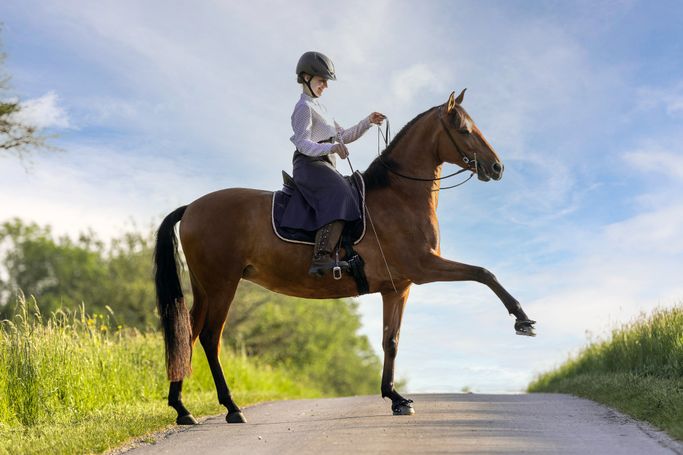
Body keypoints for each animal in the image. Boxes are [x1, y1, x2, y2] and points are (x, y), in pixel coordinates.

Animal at [155, 90, 540, 428]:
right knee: (209, 337)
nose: (497, 167)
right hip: (223, 284)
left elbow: (391, 341)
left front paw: (395, 398)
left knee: (188, 334)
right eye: (464, 130)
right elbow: (484, 273)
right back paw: (232, 407)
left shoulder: (398, 287)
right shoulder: (425, 266)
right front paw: (523, 320)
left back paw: (182, 409)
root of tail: (192, 207)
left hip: (205, 287)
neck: (398, 197)